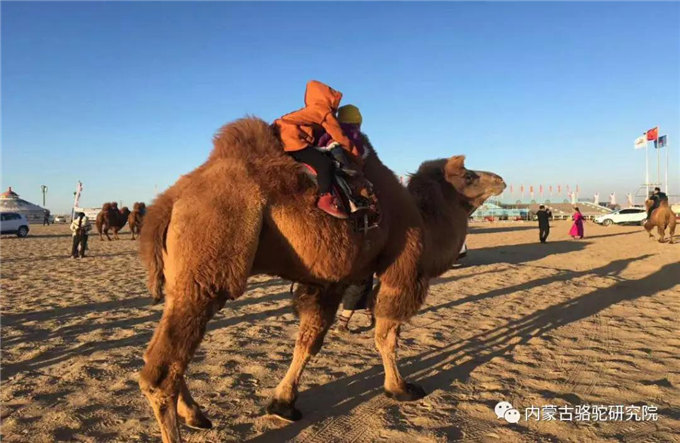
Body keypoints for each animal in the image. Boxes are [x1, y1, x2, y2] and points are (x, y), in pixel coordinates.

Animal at [137, 116, 504, 442]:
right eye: (469, 175)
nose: (500, 179)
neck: (424, 220)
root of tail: (169, 201)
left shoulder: (328, 281)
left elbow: (308, 341)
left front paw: (282, 404)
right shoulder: (402, 267)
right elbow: (386, 334)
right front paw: (400, 388)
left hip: (184, 277)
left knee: (168, 350)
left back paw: (195, 414)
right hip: (210, 261)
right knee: (161, 369)